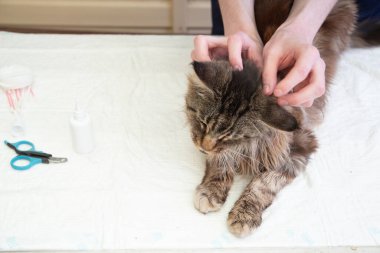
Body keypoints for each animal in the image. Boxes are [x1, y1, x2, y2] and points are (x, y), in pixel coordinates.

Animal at [186, 0, 358, 237]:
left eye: (230, 136)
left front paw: (244, 214)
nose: (203, 147)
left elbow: (263, 183)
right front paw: (210, 191)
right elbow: (220, 161)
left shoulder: (300, 145)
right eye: (202, 123)